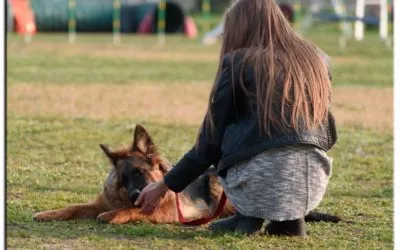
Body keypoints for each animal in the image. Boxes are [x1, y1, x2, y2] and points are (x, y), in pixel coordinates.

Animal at [34, 125, 340, 225]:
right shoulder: (98, 202)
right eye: (124, 180)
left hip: (216, 182)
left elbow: (133, 212)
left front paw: (115, 214)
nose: (134, 195)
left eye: (141, 172)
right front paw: (48, 213)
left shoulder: (160, 211)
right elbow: (74, 206)